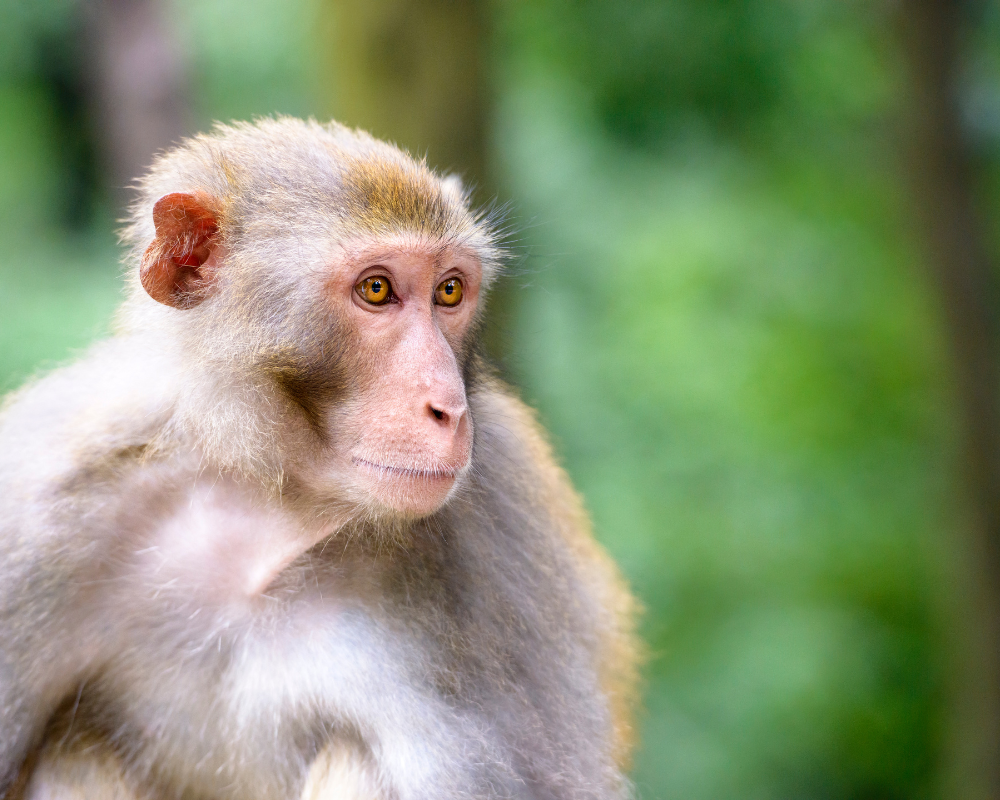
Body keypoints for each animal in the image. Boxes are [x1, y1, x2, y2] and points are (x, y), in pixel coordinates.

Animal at [0, 114, 640, 800]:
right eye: (377, 289)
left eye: (449, 291)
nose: (449, 405)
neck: (267, 499)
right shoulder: (39, 514)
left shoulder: (496, 538)